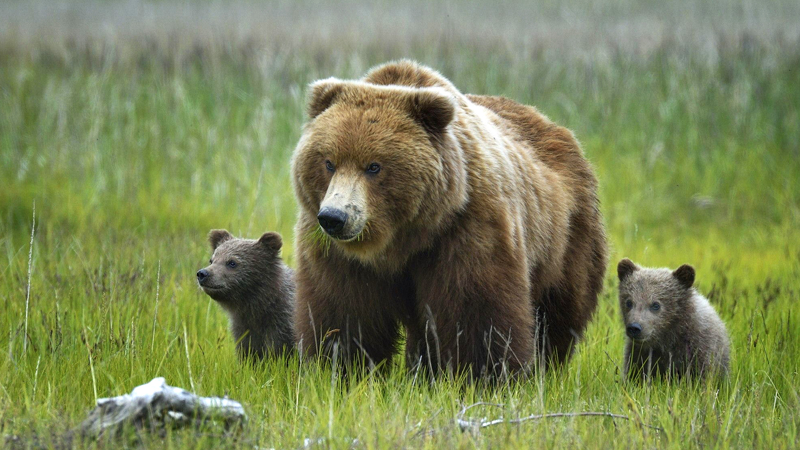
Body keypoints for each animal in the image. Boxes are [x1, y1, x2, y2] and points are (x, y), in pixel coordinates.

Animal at [292, 59, 608, 376]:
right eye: (329, 162)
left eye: (374, 166)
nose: (334, 217)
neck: (400, 239)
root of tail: (550, 123)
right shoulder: (338, 256)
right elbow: (343, 313)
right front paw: (340, 368)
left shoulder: (466, 227)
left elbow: (476, 311)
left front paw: (484, 373)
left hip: (565, 236)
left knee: (558, 312)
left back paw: (546, 366)